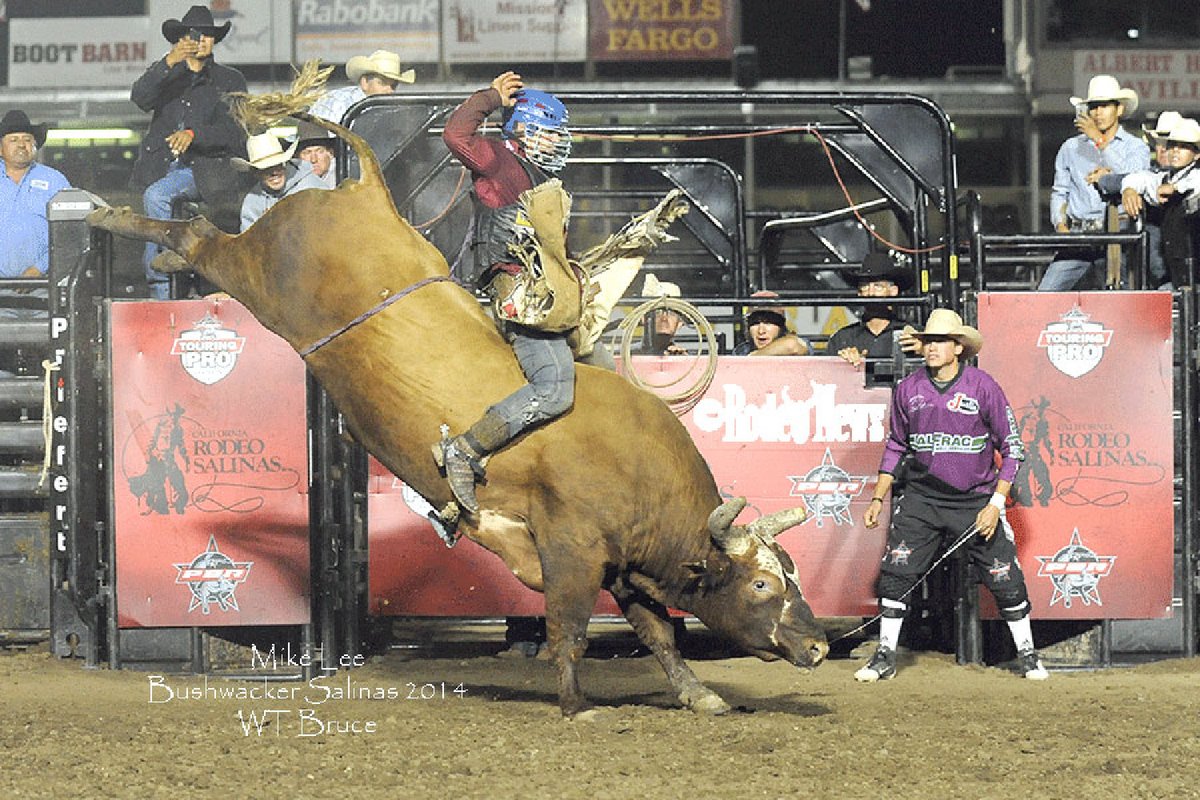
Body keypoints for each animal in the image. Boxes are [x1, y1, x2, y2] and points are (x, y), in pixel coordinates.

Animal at [87, 95, 828, 718]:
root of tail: (364, 194)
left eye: (792, 573)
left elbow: (659, 634)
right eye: (761, 588)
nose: (818, 645)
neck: (636, 465)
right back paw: (110, 217)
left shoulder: (626, 567)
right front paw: (575, 706)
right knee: (197, 235)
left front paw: (699, 695)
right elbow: (569, 632)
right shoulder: (571, 551)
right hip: (256, 274)